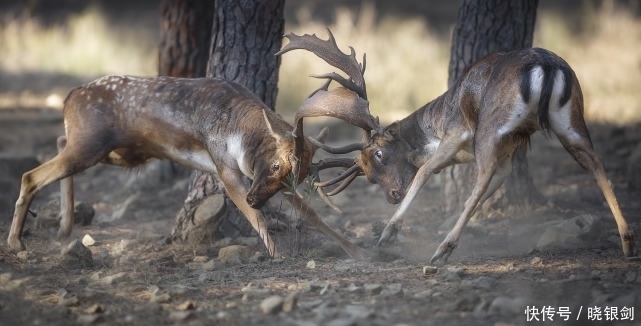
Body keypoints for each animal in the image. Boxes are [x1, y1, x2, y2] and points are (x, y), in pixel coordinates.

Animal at [7, 52, 370, 260]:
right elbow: (256, 218)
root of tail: (69, 97)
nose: (254, 197)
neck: (239, 129)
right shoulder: (225, 166)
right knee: (31, 174)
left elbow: (314, 214)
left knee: (58, 142)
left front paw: (356, 249)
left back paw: (64, 226)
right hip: (92, 144)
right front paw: (276, 254)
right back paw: (17, 243)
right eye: (277, 163)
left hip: (118, 151)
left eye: (295, 177)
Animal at [284, 31, 636, 264]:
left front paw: (388, 234)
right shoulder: (509, 151)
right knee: (596, 163)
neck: (436, 124)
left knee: (481, 172)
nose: (393, 195)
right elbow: (492, 184)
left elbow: (426, 170)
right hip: (571, 117)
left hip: (492, 125)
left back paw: (441, 251)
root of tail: (547, 67)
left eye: (379, 155)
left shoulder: (455, 134)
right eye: (367, 173)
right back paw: (627, 242)